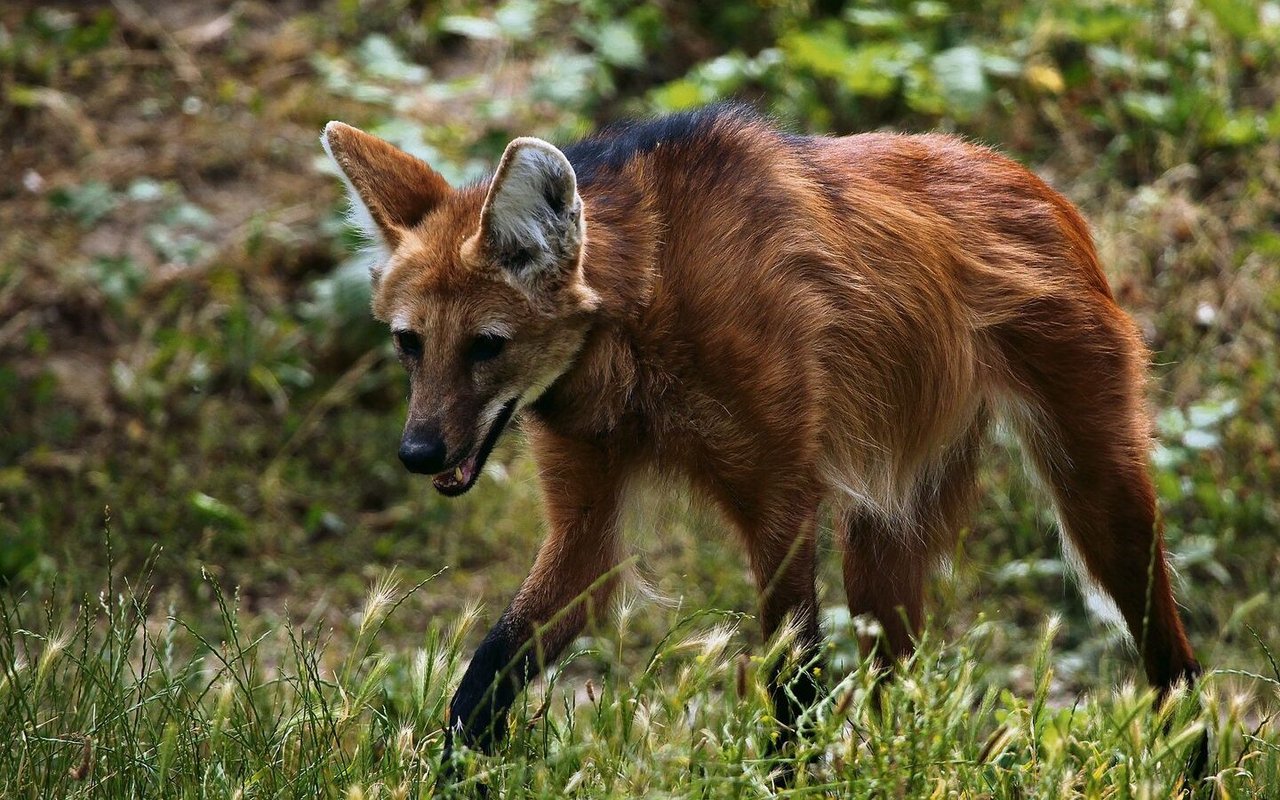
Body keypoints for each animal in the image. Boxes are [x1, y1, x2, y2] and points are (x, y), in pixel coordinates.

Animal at [320, 104, 1198, 762]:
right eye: (409, 343)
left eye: (486, 346)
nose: (417, 453)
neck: (640, 320)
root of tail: (1032, 179)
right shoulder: (588, 513)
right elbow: (490, 669)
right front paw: (447, 771)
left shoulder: (779, 495)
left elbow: (792, 682)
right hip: (885, 518)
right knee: (896, 679)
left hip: (1094, 479)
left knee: (1172, 657)